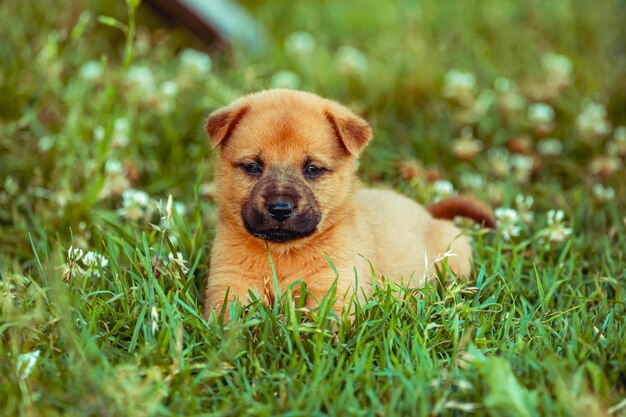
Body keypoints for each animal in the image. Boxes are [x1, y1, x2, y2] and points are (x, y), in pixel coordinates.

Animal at [202, 88, 490, 316]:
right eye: (252, 167)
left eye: (312, 169)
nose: (280, 209)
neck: (284, 255)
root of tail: (425, 212)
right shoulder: (229, 284)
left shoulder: (337, 286)